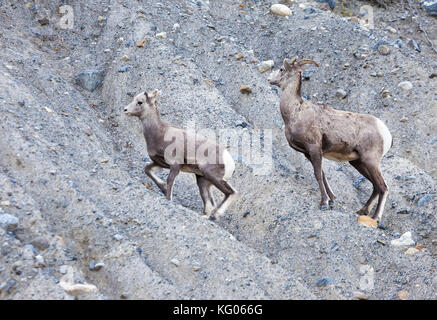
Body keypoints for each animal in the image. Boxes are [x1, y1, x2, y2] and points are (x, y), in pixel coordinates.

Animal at [122, 90, 237, 220]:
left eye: (140, 102)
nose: (125, 110)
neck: (160, 133)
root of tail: (229, 160)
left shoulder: (175, 165)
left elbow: (170, 180)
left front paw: (168, 198)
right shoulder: (160, 163)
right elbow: (147, 169)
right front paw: (163, 187)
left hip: (213, 177)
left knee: (231, 193)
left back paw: (216, 215)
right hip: (203, 181)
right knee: (210, 204)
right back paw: (205, 216)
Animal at [268, 57, 394, 222]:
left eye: (282, 69)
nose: (269, 79)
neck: (295, 112)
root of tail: (386, 133)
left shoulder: (314, 148)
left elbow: (317, 174)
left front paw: (324, 203)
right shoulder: (308, 153)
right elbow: (322, 174)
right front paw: (332, 199)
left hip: (371, 161)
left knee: (383, 187)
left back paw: (375, 218)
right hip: (358, 162)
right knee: (376, 186)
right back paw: (362, 211)